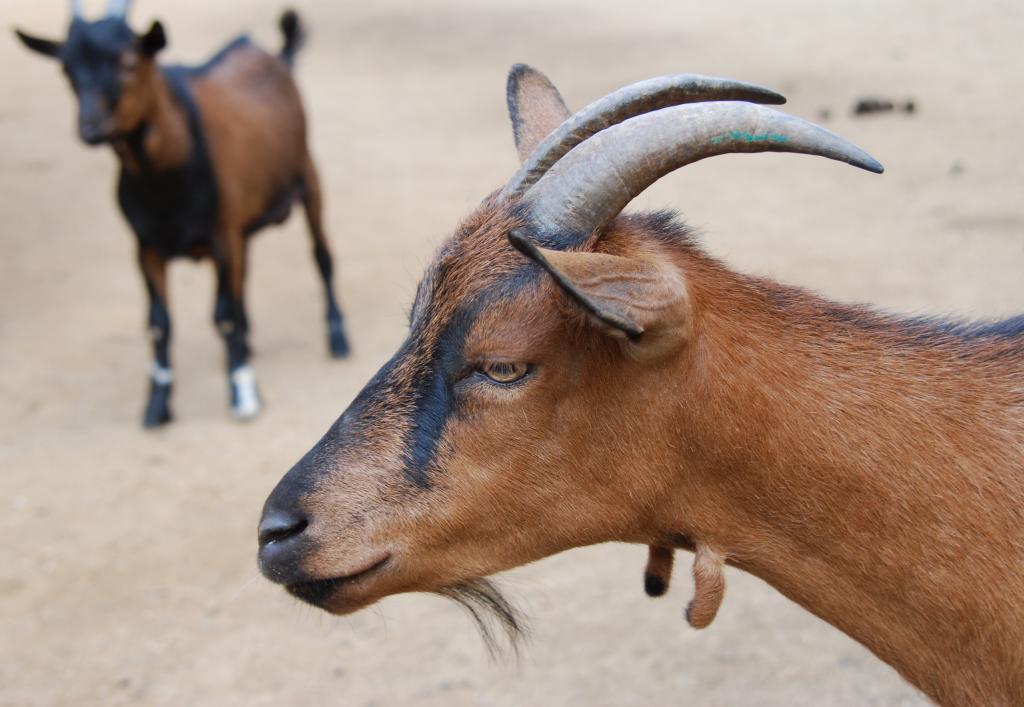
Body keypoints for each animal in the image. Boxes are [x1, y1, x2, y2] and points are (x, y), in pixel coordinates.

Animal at [15, 0, 351, 426]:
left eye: (128, 62)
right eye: (66, 69)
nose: (90, 128)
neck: (166, 185)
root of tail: (274, 56)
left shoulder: (222, 236)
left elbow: (223, 315)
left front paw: (243, 394)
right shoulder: (146, 246)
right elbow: (159, 323)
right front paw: (157, 403)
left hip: (308, 178)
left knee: (321, 255)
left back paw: (337, 337)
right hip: (243, 225)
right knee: (246, 277)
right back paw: (248, 342)